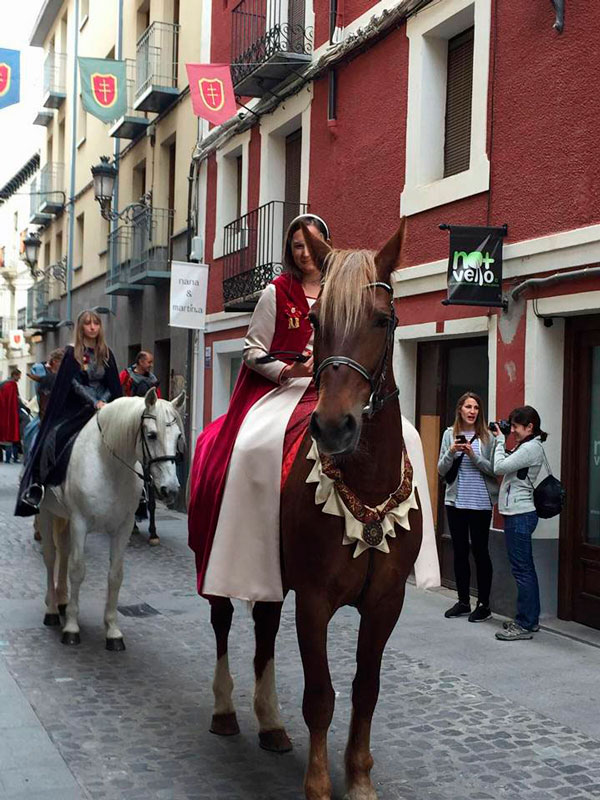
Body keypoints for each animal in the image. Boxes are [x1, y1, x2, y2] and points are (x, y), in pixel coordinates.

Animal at [39, 390, 185, 648]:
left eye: (178, 435)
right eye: (151, 434)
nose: (170, 489)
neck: (108, 466)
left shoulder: (122, 528)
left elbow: (115, 575)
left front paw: (113, 631)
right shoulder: (79, 523)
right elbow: (78, 570)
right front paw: (72, 628)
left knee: (63, 554)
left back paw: (63, 600)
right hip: (47, 513)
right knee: (51, 557)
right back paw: (53, 610)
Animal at [209, 222, 424, 800]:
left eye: (381, 319)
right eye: (316, 321)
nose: (333, 426)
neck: (365, 483)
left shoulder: (386, 602)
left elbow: (366, 688)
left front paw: (361, 777)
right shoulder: (314, 600)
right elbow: (321, 696)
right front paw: (320, 784)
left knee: (263, 627)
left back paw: (270, 724)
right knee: (223, 624)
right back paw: (225, 711)